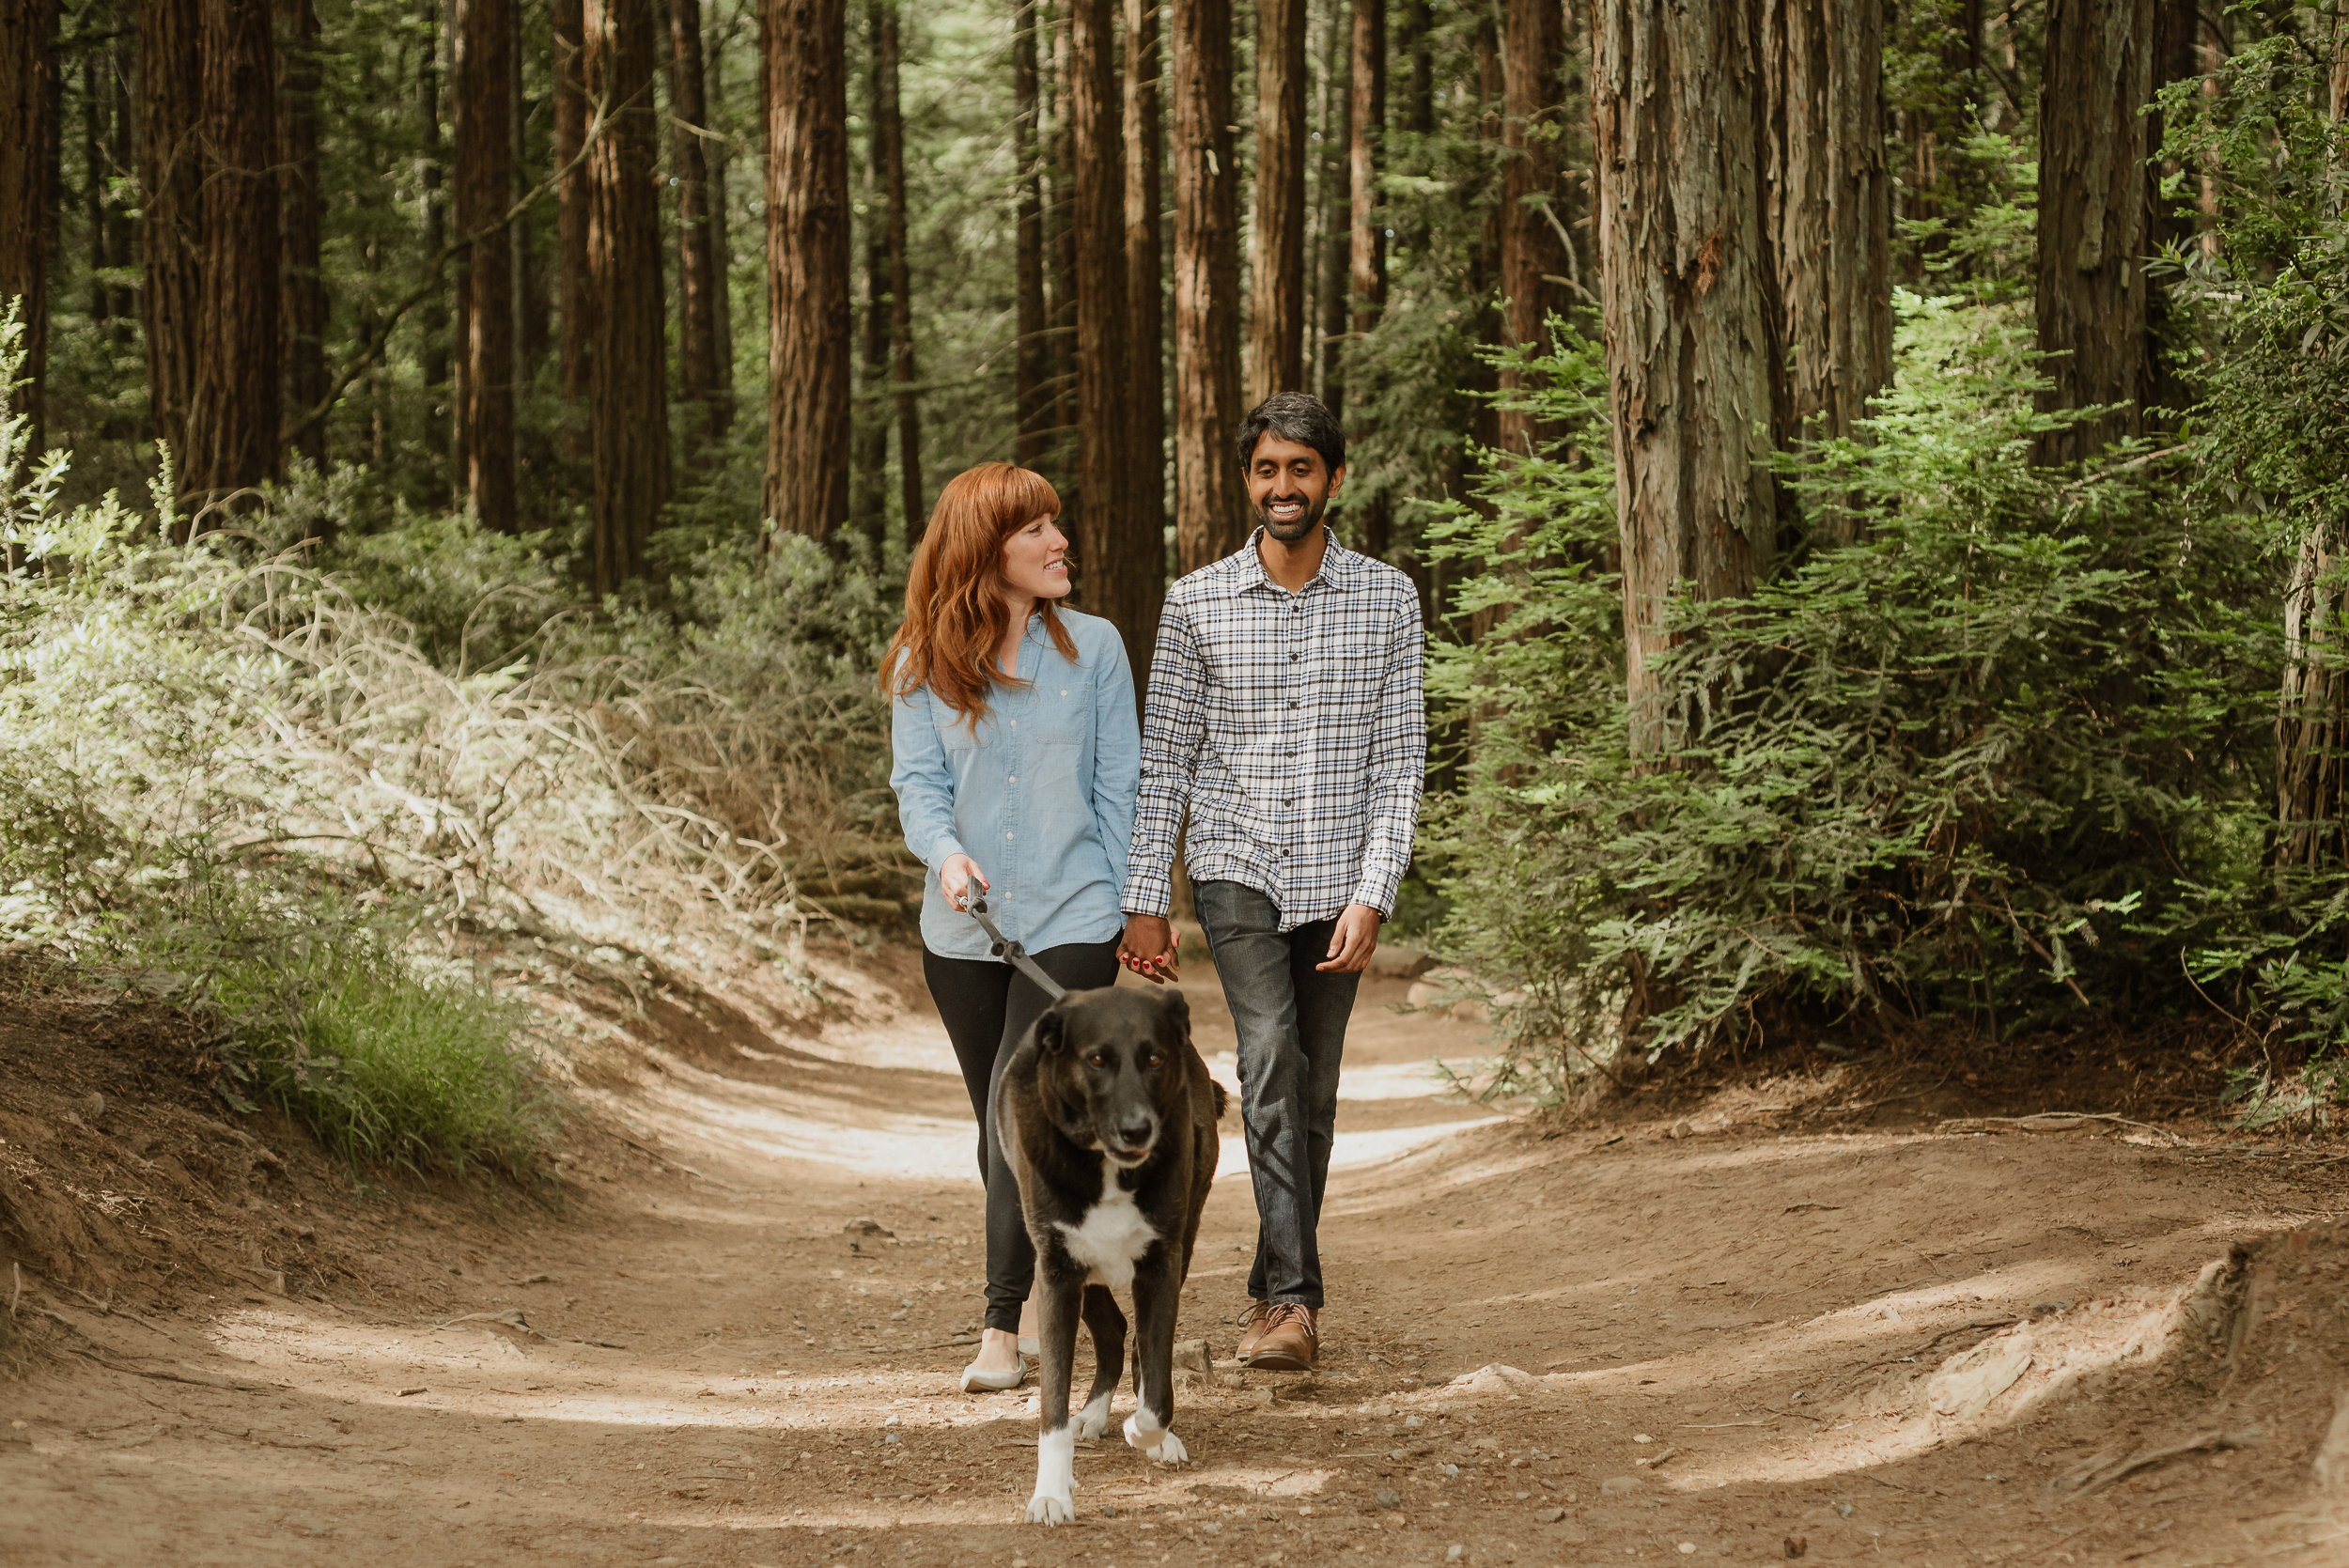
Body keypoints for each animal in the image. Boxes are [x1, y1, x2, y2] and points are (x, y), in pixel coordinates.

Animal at [991, 986, 1231, 1521]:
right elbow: (1052, 1404)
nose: (1138, 1130)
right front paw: (1051, 1493)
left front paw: (1146, 1433)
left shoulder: (1162, 1265)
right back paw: (1093, 1414)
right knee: (1112, 1331)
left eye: (1155, 1058)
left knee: (1135, 1342)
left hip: (1183, 1240)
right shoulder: (1057, 1273)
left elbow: (1158, 1389)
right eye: (1096, 1060)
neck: (1105, 1165)